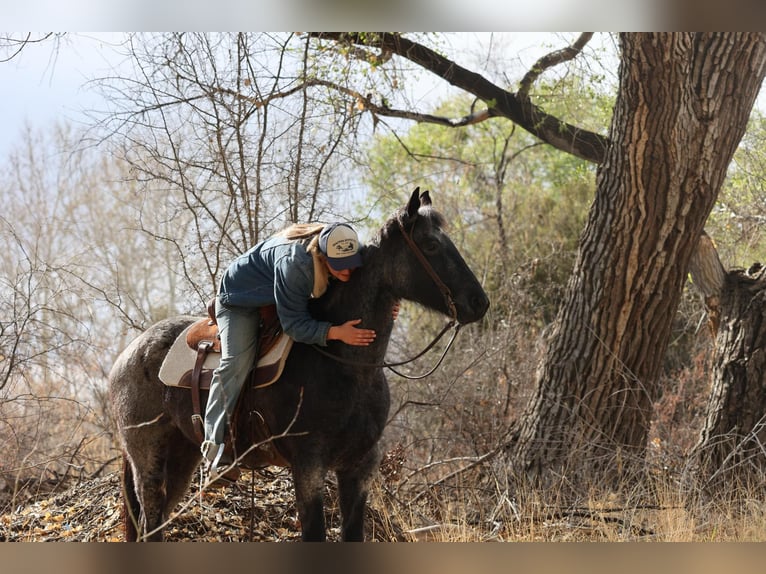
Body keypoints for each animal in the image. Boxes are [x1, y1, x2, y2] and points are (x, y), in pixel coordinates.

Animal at [108, 188, 490, 541]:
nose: (479, 302)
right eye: (430, 245)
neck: (347, 367)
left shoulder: (359, 467)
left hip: (181, 457)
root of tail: (126, 357)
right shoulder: (308, 466)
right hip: (147, 459)